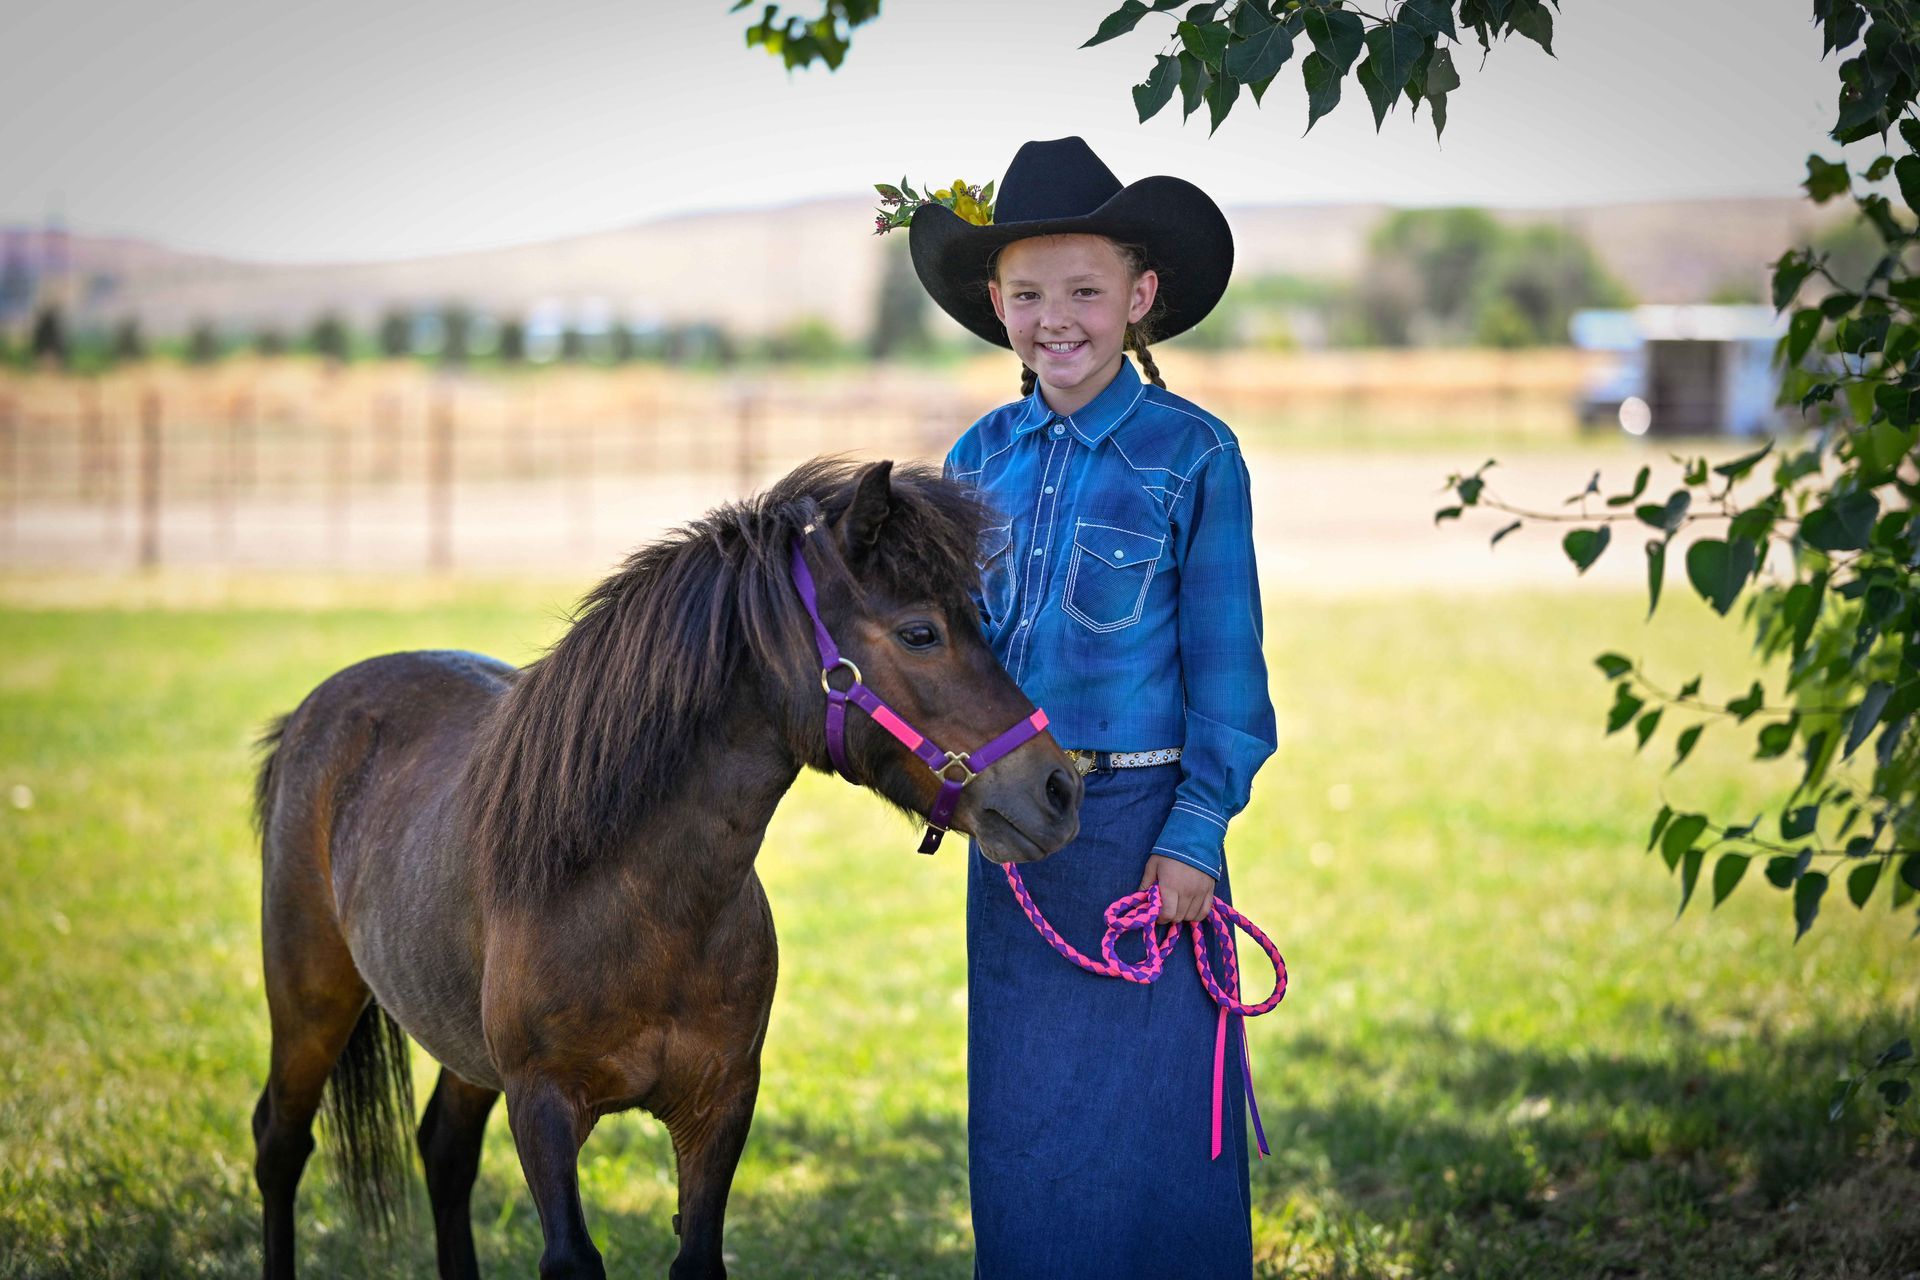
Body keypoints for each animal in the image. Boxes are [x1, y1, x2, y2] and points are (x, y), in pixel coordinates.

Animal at [249, 458, 1082, 1279]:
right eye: (920, 633)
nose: (1059, 789)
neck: (638, 902)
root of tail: (317, 710)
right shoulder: (542, 1105)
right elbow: (572, 1257)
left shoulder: (719, 1106)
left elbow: (698, 1256)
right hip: (311, 1004)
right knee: (279, 1144)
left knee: (444, 1151)